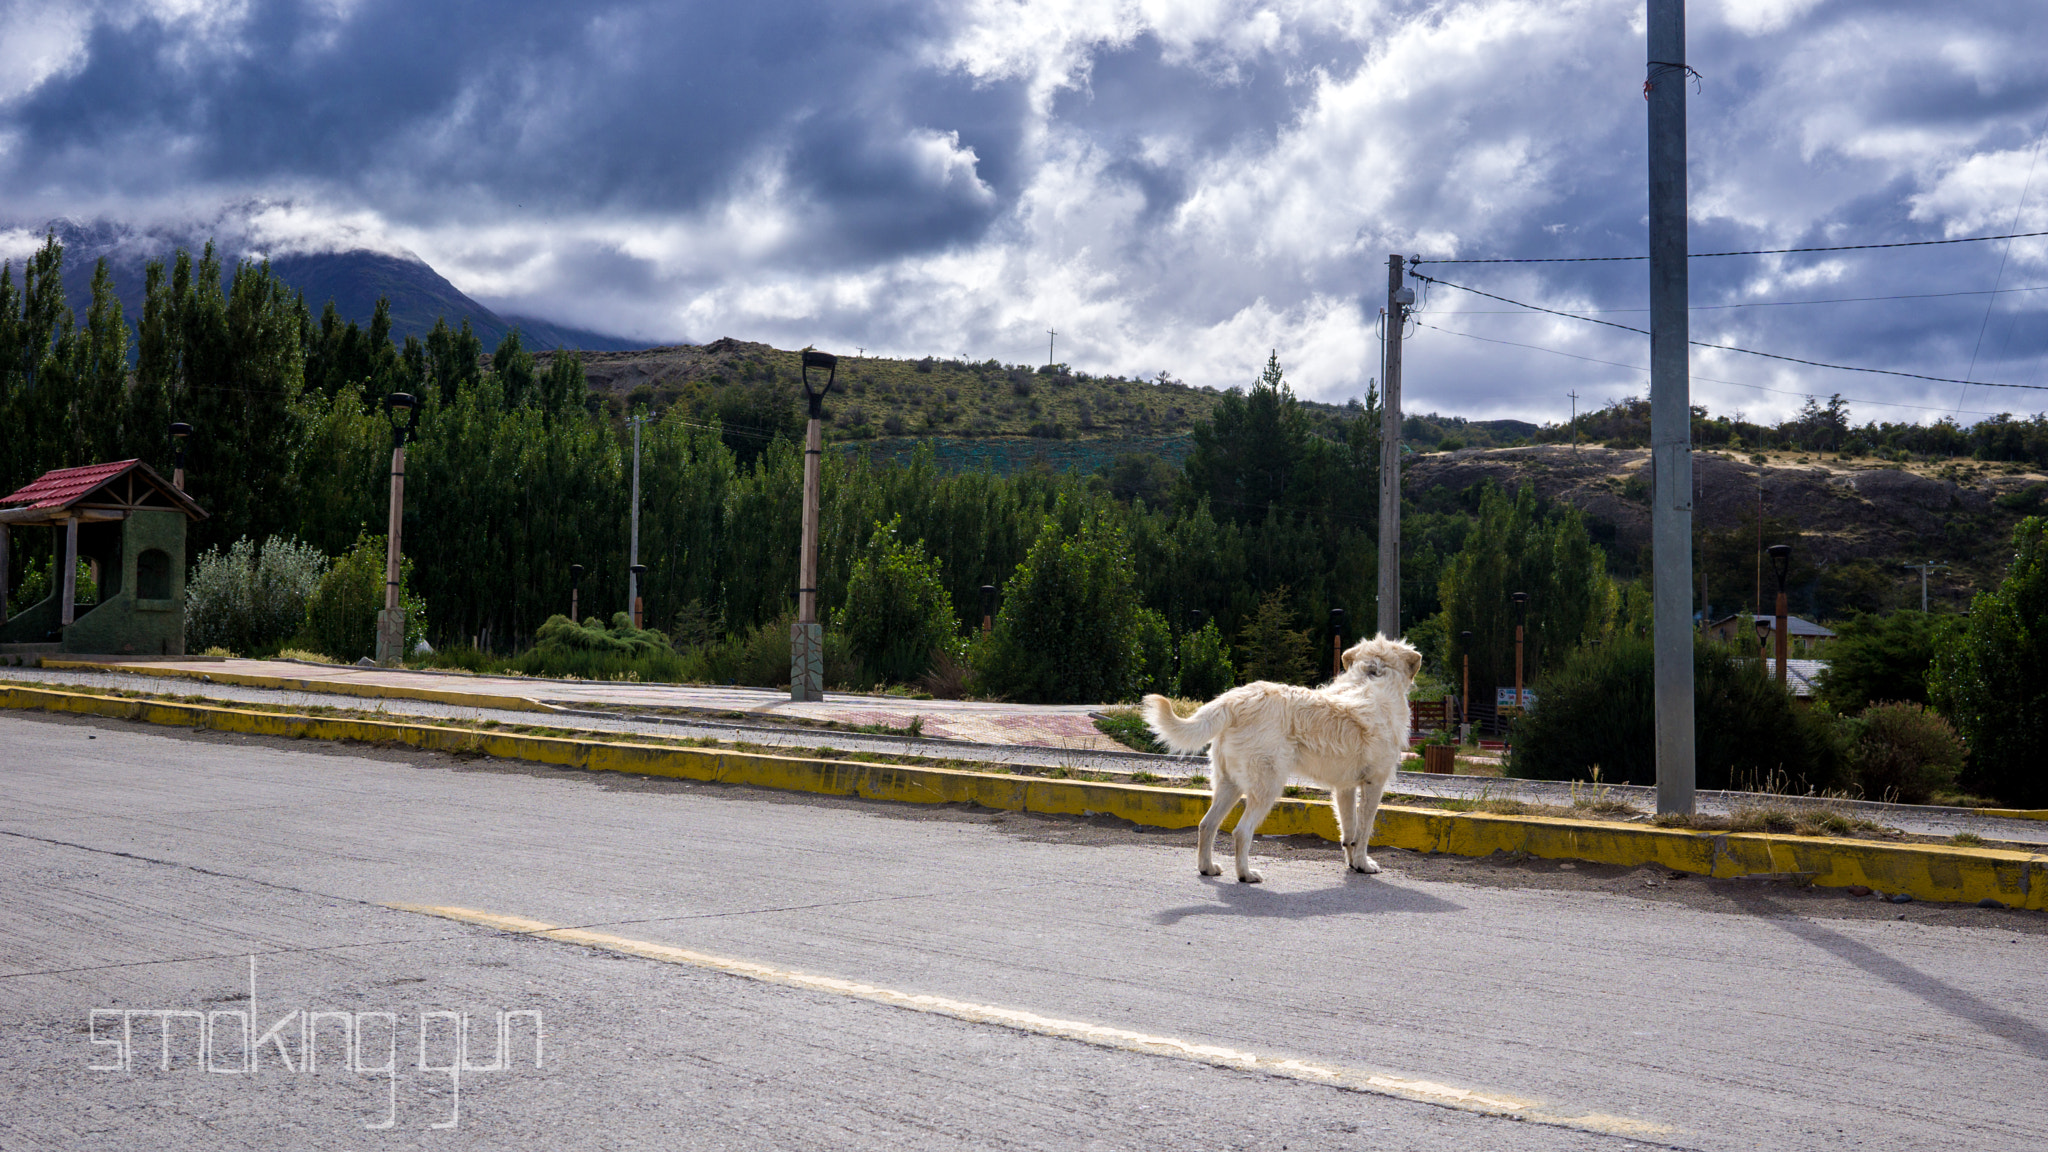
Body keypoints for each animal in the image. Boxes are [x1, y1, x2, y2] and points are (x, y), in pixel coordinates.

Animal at [1146, 635, 1417, 877]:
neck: (1373, 675)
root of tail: (1233, 700)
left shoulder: (1345, 788)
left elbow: (1349, 832)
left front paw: (1353, 864)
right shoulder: (1374, 783)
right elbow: (1364, 831)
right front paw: (1363, 864)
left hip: (1229, 785)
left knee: (1206, 825)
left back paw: (1207, 868)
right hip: (1268, 786)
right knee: (1241, 832)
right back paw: (1246, 874)